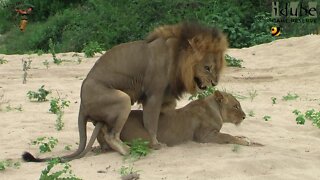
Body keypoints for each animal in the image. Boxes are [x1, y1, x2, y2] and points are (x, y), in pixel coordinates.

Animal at [21, 21, 228, 162]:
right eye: (207, 67)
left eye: (217, 67)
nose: (215, 83)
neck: (176, 58)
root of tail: (82, 105)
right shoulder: (153, 95)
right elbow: (151, 122)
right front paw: (156, 144)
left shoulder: (166, 96)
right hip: (122, 99)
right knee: (112, 134)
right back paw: (126, 150)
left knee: (103, 128)